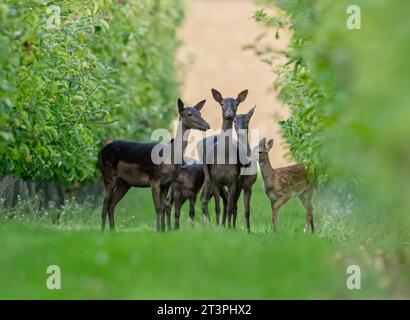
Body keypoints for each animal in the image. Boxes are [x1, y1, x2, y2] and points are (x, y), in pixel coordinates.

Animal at [97, 99, 210, 231]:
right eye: (189, 114)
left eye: (200, 113)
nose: (207, 125)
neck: (168, 157)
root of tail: (100, 152)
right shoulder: (154, 179)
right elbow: (157, 207)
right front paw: (158, 230)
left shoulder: (166, 183)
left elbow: (163, 206)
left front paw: (163, 230)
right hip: (108, 175)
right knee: (105, 204)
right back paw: (103, 231)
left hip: (124, 183)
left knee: (111, 204)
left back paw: (113, 230)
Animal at [197, 88, 248, 228]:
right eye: (222, 104)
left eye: (236, 104)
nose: (229, 114)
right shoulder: (215, 179)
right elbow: (217, 207)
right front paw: (218, 226)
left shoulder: (233, 180)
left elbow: (230, 206)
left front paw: (229, 227)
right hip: (207, 174)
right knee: (204, 198)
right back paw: (209, 223)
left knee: (227, 201)